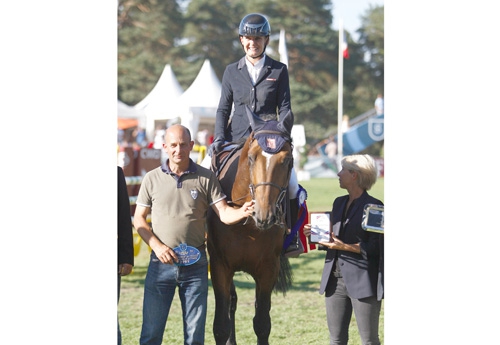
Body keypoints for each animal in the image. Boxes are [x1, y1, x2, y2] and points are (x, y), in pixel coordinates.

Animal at [206, 108, 292, 344]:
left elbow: (262, 323)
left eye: (288, 160)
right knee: (232, 303)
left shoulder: (268, 269)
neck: (247, 227)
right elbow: (221, 325)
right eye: (252, 158)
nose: (264, 214)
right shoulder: (219, 266)